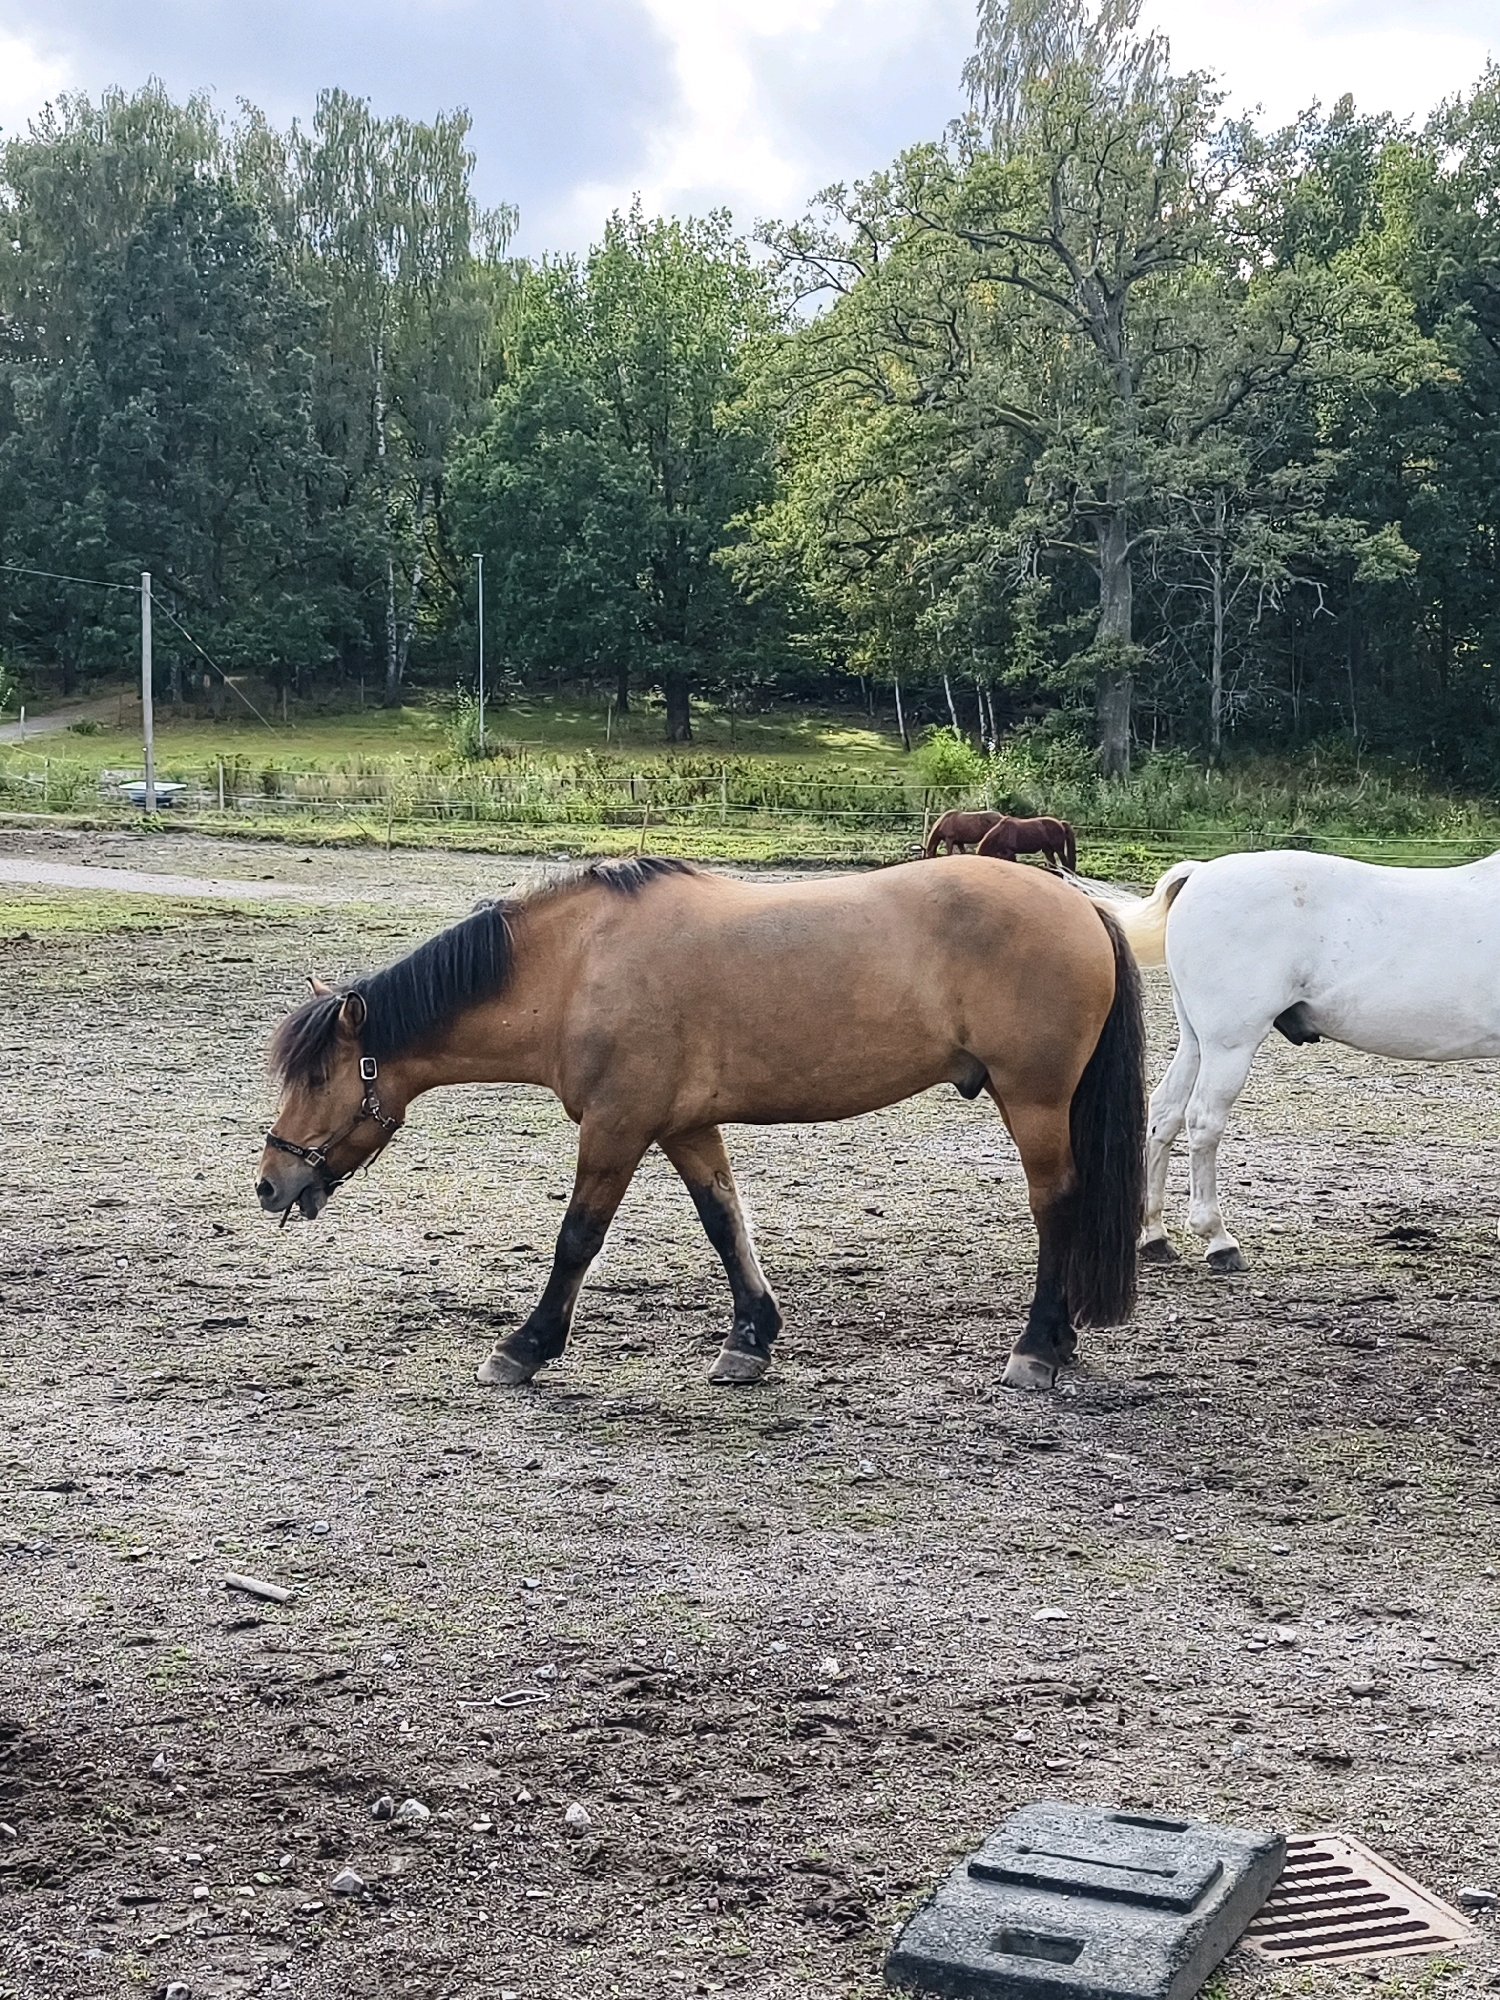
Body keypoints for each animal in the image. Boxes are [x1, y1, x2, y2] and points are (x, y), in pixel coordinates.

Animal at [258, 855, 1146, 1395]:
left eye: (318, 1076)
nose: (271, 1183)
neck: (578, 967)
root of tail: (1080, 904)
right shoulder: (683, 1127)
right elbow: (725, 1223)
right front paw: (750, 1339)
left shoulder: (616, 1126)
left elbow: (577, 1239)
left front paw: (525, 1346)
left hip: (1032, 1099)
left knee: (1056, 1205)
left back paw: (1038, 1346)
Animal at [1092, 848, 1500, 1271]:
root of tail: (1200, 872)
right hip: (1228, 1045)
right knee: (1203, 1122)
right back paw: (1219, 1240)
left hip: (1195, 1042)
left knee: (1164, 1114)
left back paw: (1154, 1235)